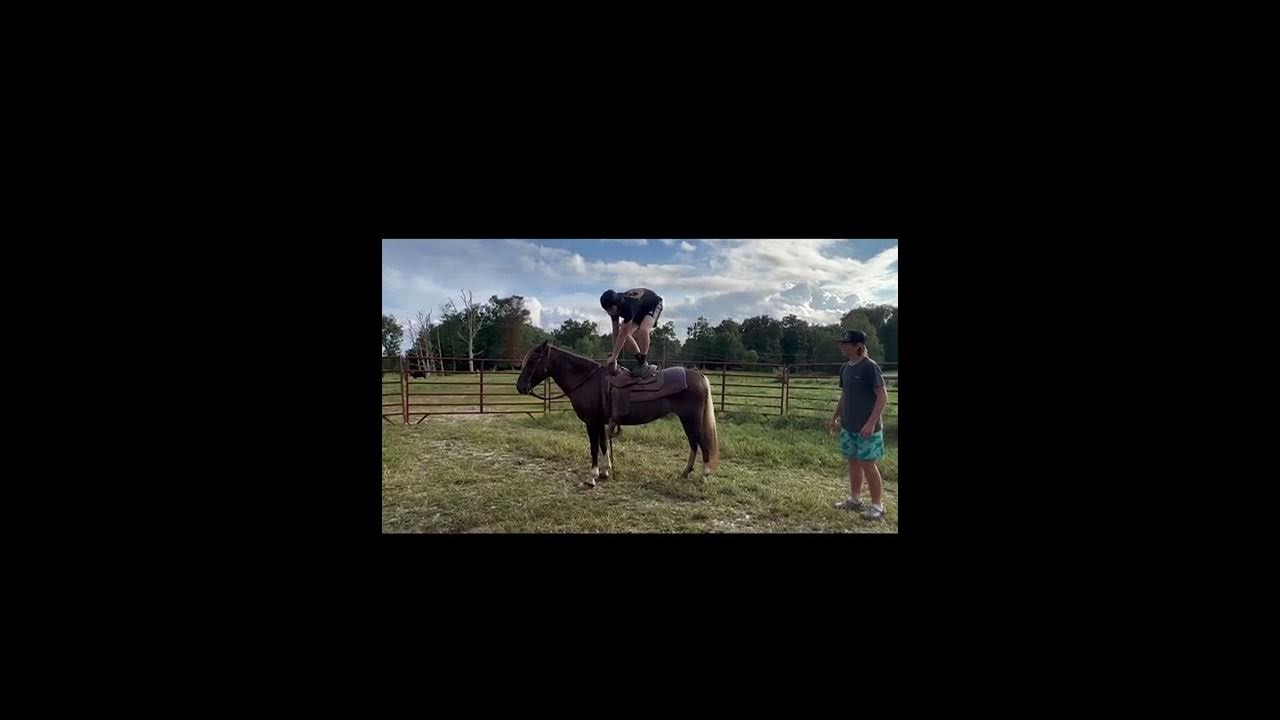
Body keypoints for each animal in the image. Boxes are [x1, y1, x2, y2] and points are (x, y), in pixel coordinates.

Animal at [515, 340, 719, 488]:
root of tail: (699, 376)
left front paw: (592, 477)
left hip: (691, 420)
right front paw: (605, 471)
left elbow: (594, 447)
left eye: (534, 360)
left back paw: (704, 476)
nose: (520, 387)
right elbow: (603, 445)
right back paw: (685, 473)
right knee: (694, 444)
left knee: (702, 444)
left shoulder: (591, 422)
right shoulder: (601, 422)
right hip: (688, 421)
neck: (587, 380)